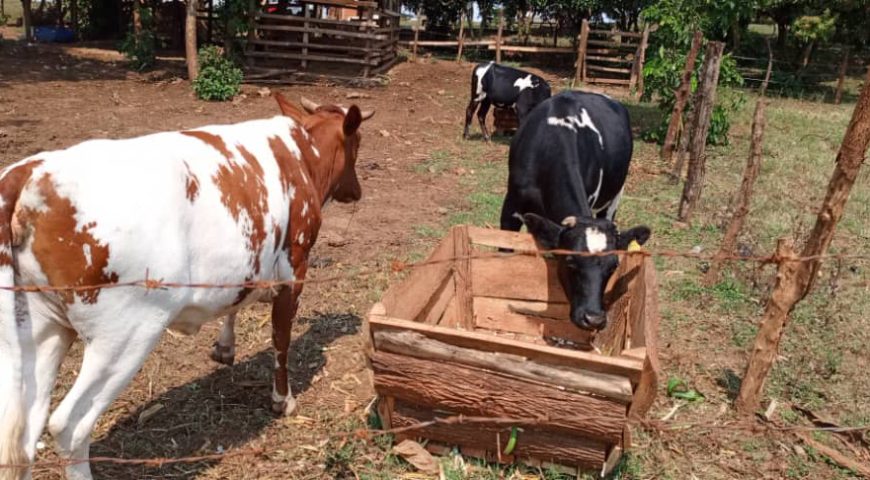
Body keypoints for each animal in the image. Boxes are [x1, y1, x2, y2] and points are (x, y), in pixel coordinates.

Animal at [0, 92, 372, 478]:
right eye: (358, 142)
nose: (356, 191)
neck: (302, 153)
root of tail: (28, 174)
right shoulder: (294, 268)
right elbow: (281, 340)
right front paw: (283, 400)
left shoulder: (247, 261)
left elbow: (235, 302)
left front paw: (225, 347)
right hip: (124, 333)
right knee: (69, 425)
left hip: (37, 330)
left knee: (20, 435)